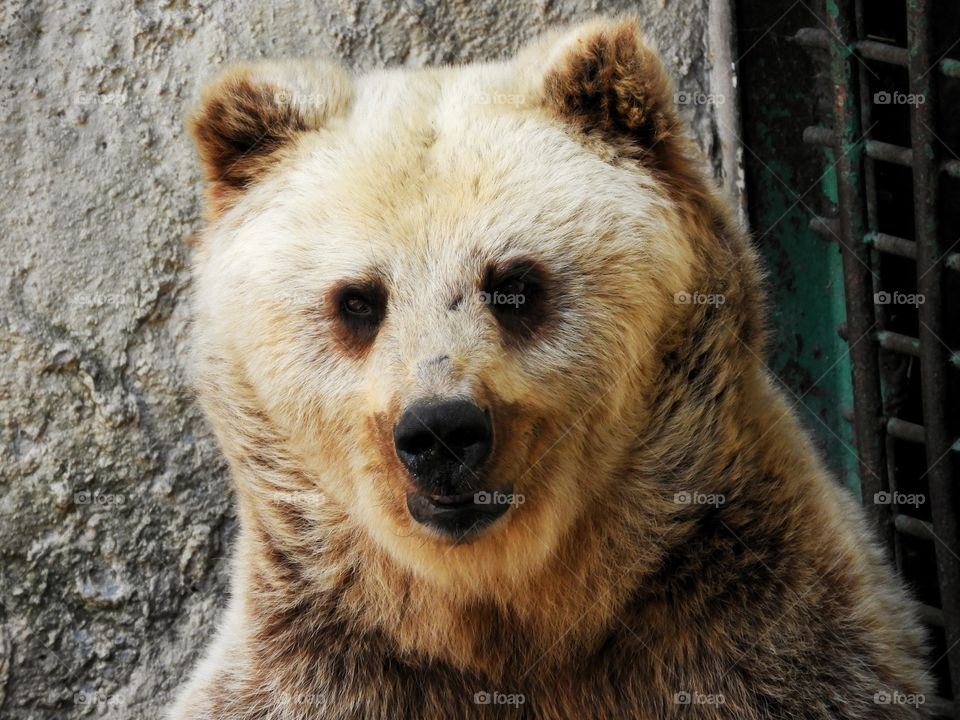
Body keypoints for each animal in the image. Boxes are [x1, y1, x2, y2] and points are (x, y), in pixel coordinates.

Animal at [171, 16, 932, 720]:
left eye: (514, 283)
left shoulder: (755, 627)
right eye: (358, 300)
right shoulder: (319, 666)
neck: (514, 606)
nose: (440, 430)